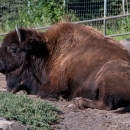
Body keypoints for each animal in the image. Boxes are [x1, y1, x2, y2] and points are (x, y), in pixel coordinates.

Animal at [0, 22, 130, 111]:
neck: (46, 51)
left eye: (13, 48)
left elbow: (41, 92)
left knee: (106, 103)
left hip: (109, 70)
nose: (0, 65)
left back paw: (77, 101)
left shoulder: (57, 85)